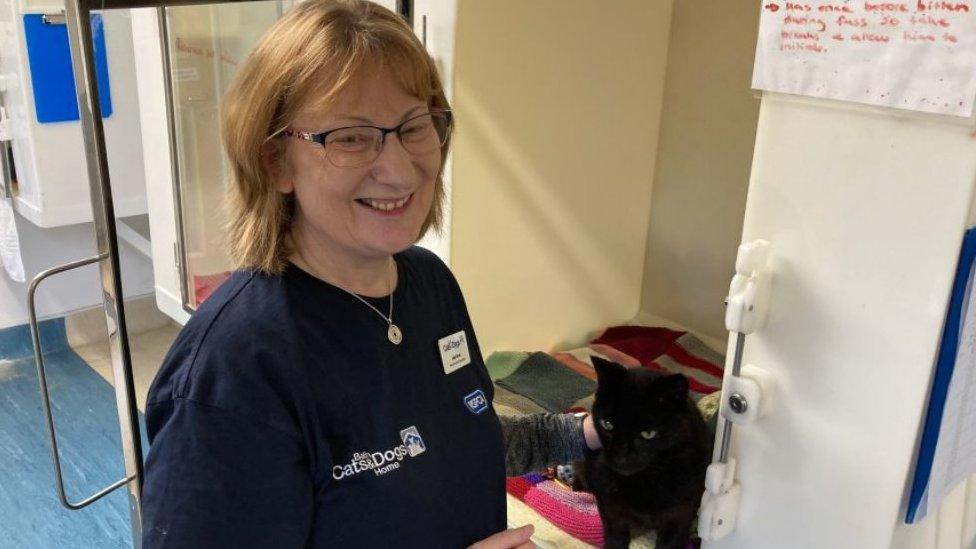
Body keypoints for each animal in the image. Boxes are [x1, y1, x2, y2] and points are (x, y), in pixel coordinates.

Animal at [576, 356, 712, 548]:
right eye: (607, 424)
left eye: (648, 433)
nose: (620, 455)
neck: (646, 479)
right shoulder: (610, 506)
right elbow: (615, 535)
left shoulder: (680, 514)